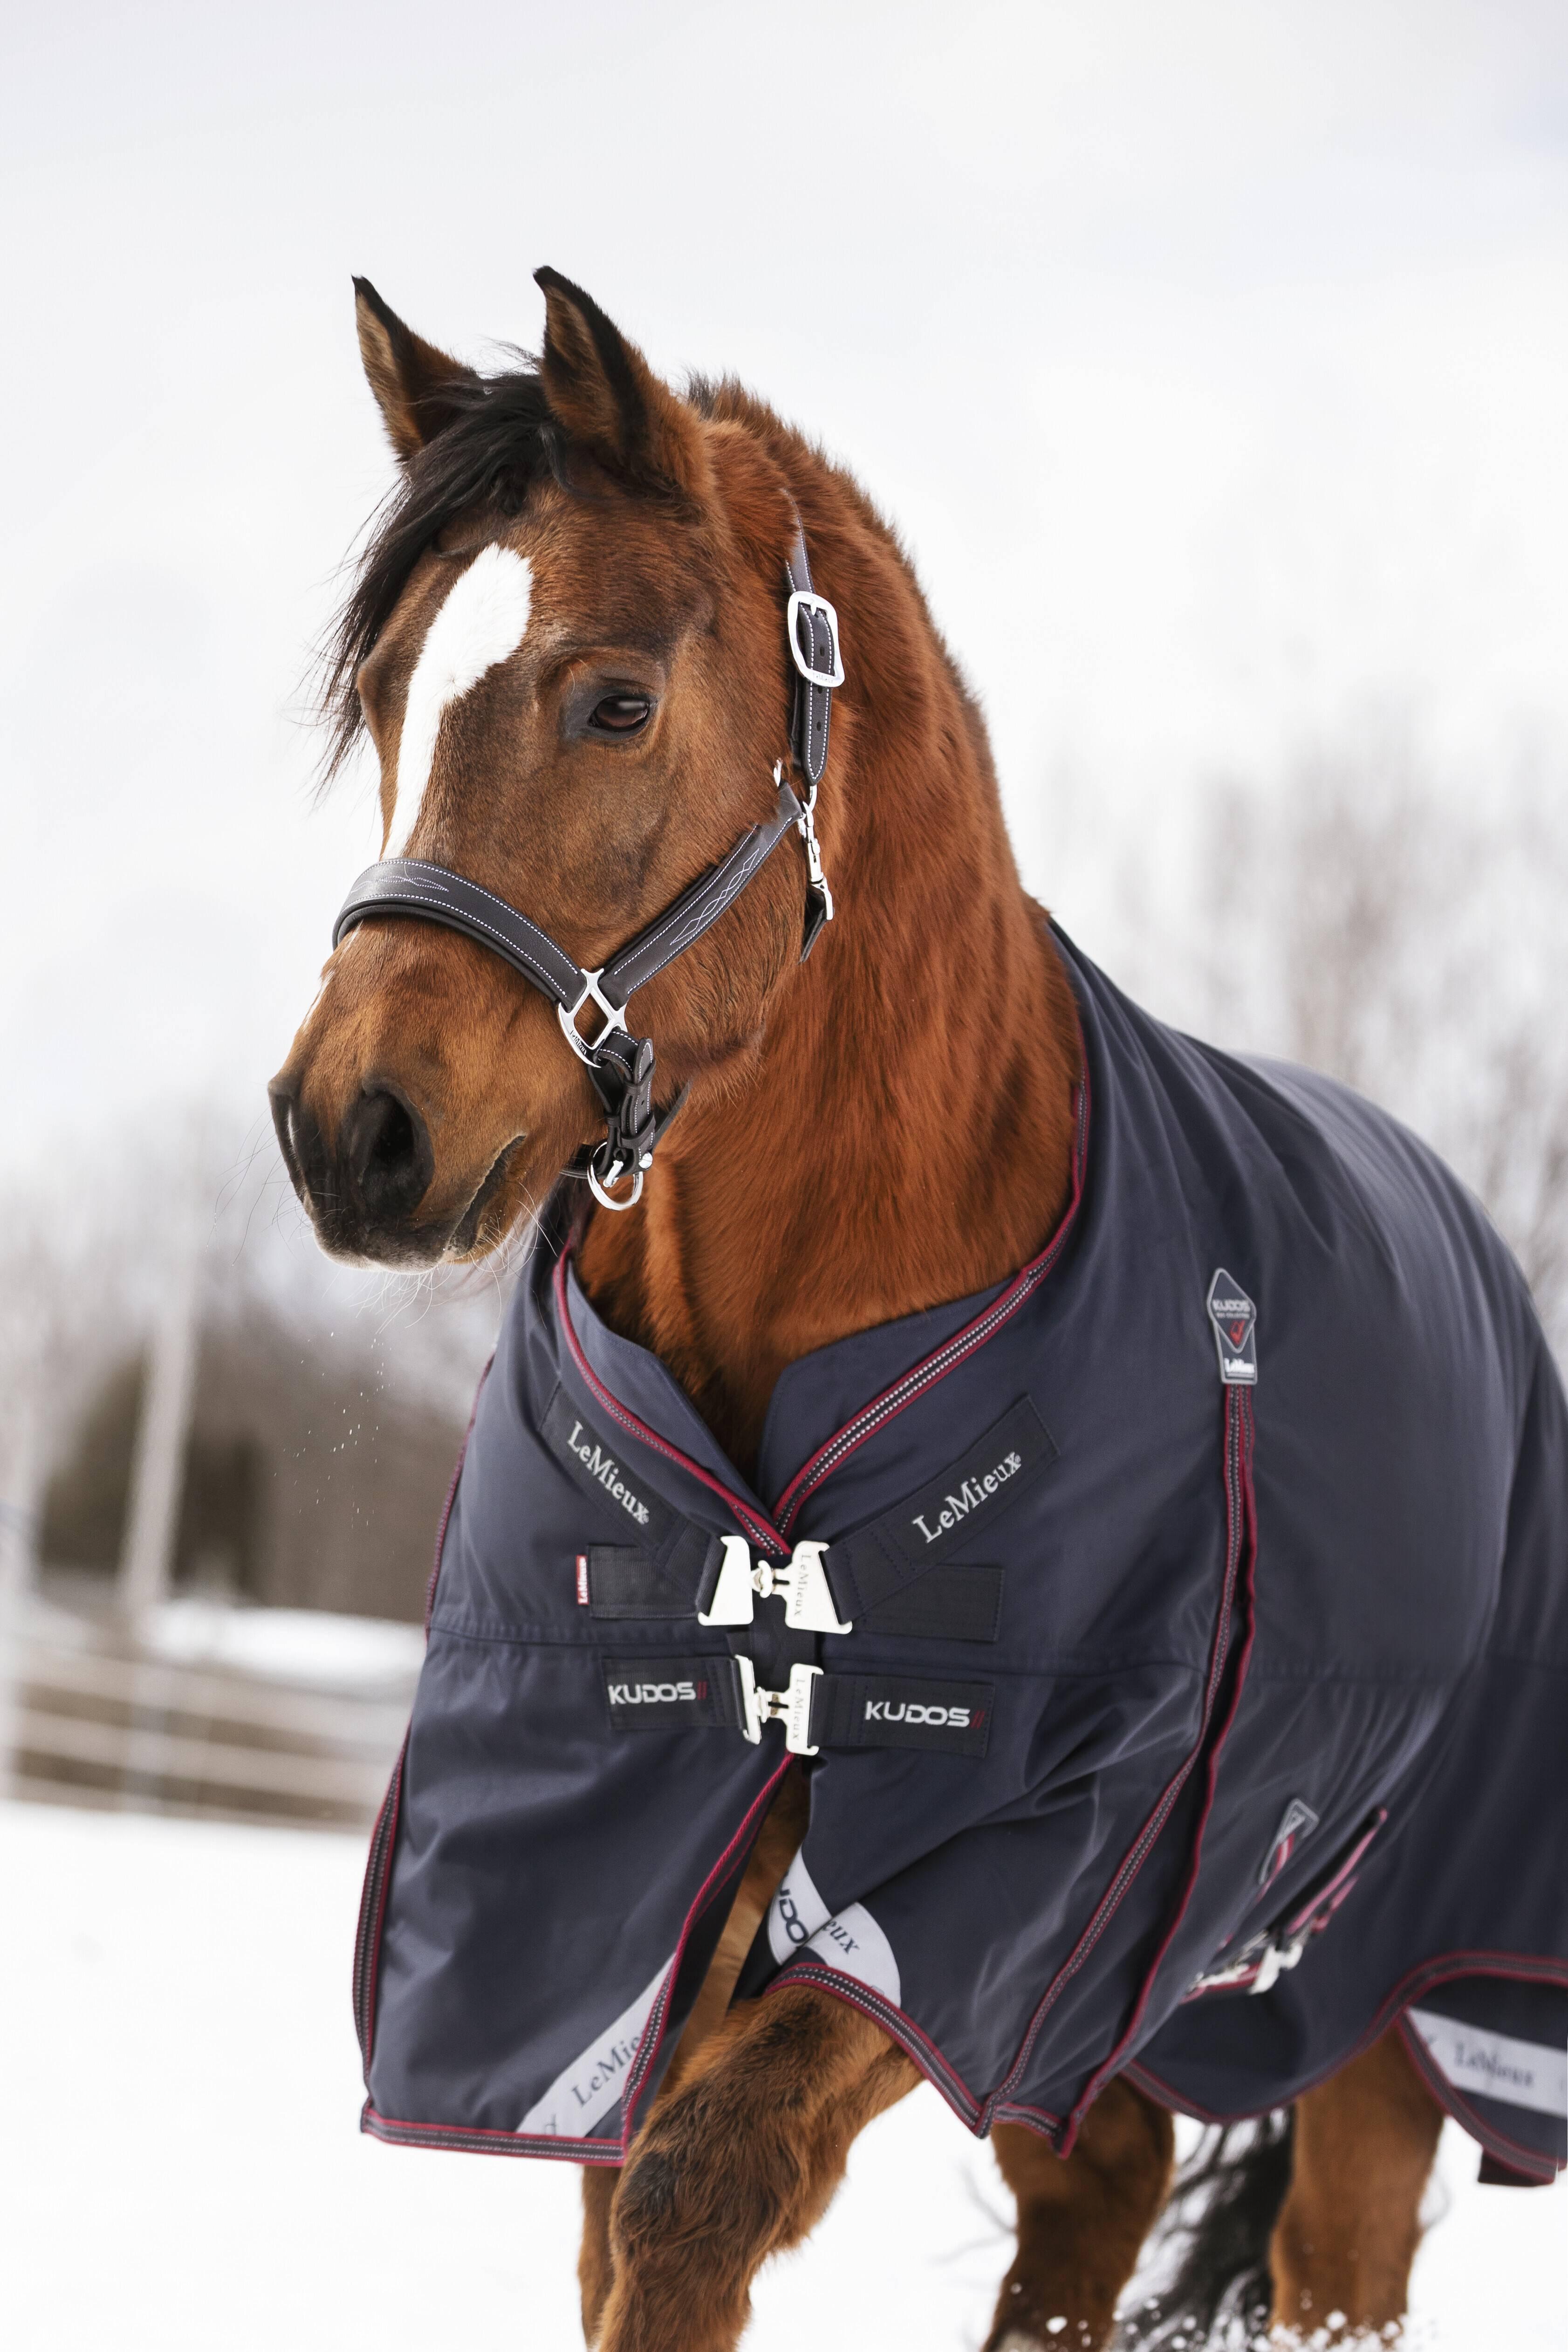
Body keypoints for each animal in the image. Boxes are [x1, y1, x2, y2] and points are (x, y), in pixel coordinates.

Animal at [268, 269, 1561, 2350]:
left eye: (614, 699)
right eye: (386, 696)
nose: (347, 1128)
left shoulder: (1009, 1873)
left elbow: (700, 2186)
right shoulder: (632, 1879)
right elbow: (628, 2218)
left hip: (1380, 2002)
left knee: (1333, 2261)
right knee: (1097, 2201)